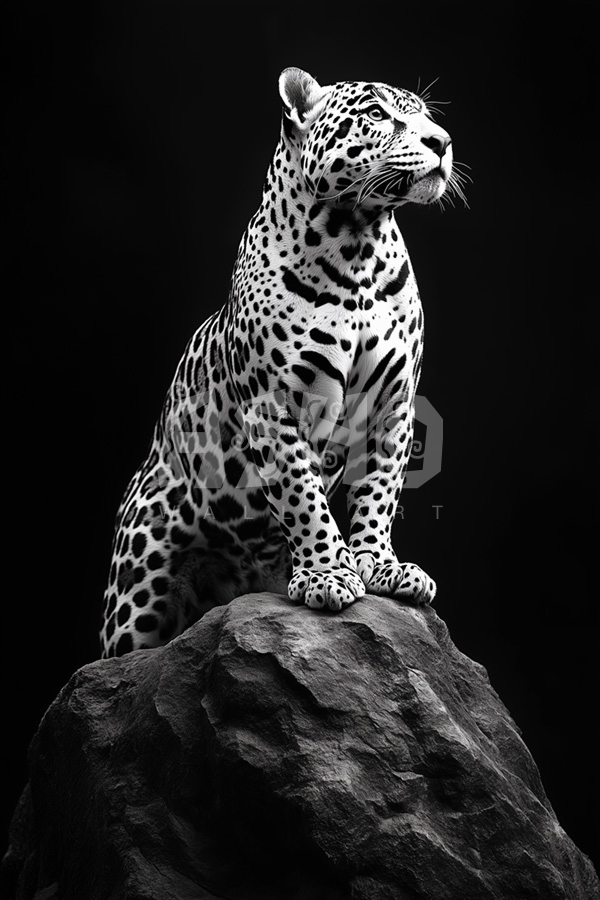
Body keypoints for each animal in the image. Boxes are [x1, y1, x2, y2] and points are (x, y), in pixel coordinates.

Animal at [100, 67, 460, 658]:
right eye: (378, 114)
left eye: (425, 115)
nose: (443, 142)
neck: (357, 246)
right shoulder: (273, 406)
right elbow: (302, 494)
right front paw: (329, 573)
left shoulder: (394, 405)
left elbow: (379, 490)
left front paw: (381, 566)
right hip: (139, 584)